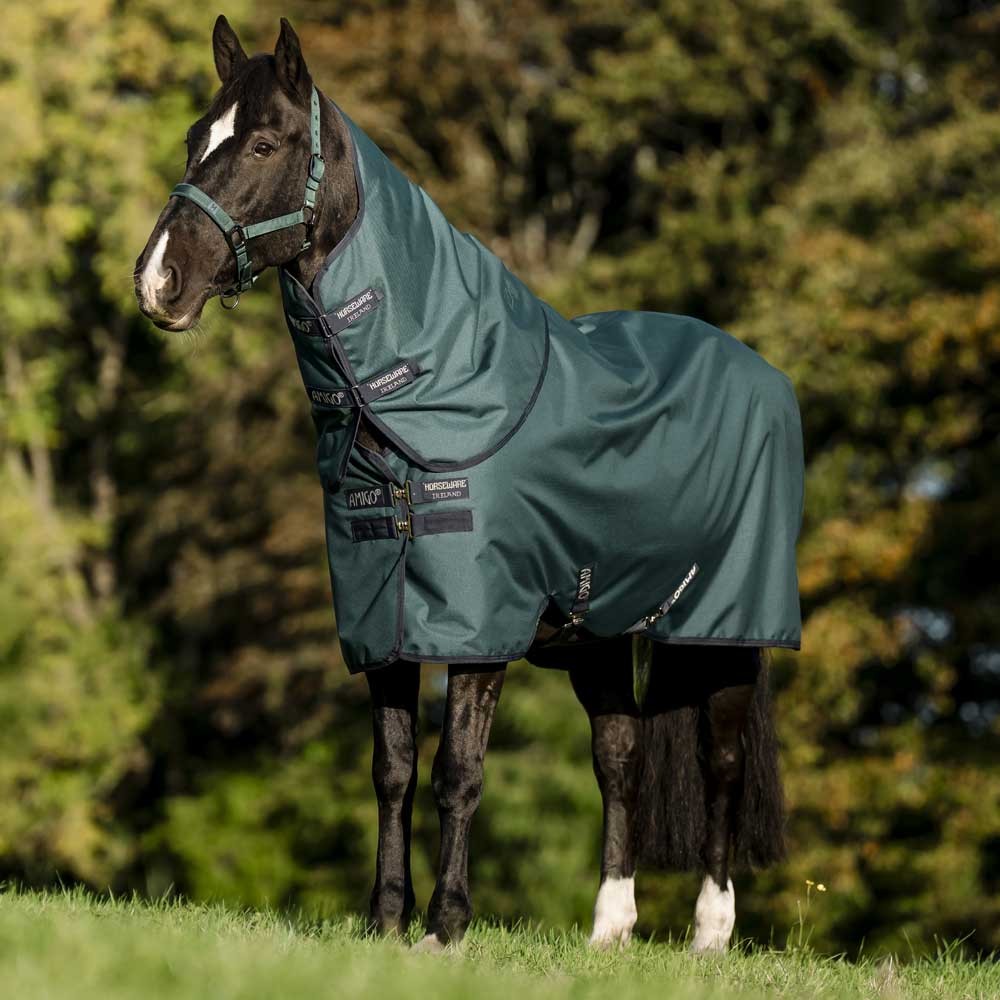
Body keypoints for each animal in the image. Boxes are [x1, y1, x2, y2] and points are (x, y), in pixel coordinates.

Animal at [135, 16, 795, 953]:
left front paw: (446, 927)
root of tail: (763, 375)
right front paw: (384, 921)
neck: (432, 393)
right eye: (197, 138)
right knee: (621, 755)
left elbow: (459, 771)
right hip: (597, 633)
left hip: (724, 632)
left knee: (722, 760)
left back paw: (710, 932)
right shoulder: (382, 619)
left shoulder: (478, 632)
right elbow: (393, 770)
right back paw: (609, 928)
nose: (158, 281)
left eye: (262, 142)